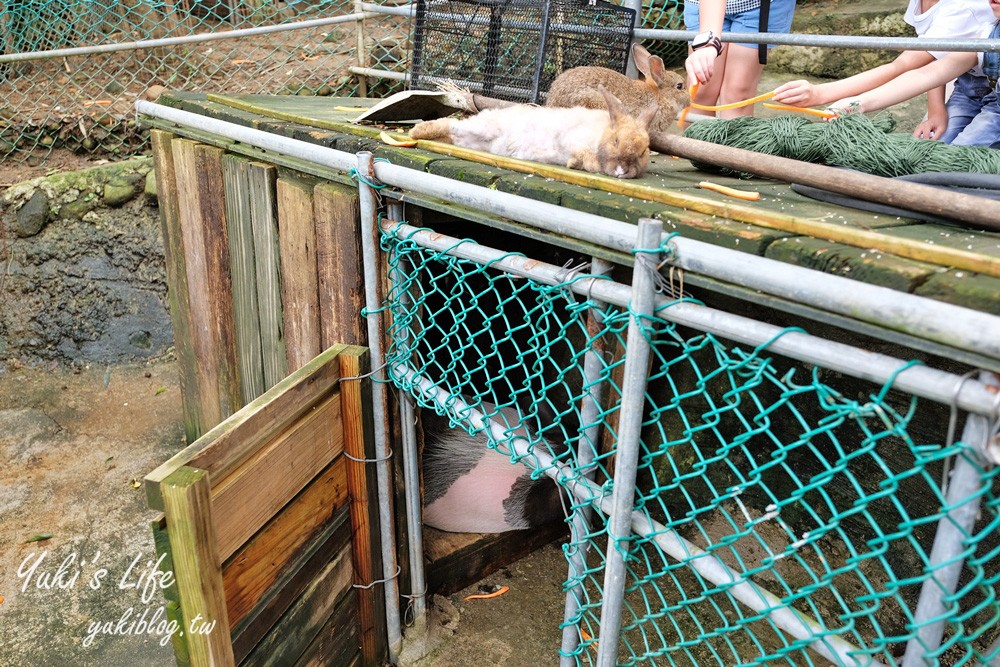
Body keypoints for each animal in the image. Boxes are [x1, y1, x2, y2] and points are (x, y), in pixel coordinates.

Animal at [410, 86, 660, 180]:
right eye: (616, 140)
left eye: (643, 152)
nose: (622, 171)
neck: (600, 135)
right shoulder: (573, 140)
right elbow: (585, 156)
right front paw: (577, 163)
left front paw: (574, 164)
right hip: (481, 127)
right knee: (450, 124)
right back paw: (416, 132)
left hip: (474, 141)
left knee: (454, 135)